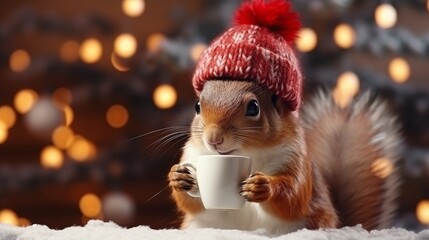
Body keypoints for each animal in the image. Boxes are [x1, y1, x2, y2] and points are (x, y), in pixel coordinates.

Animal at [166, 0, 398, 234]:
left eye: (253, 107)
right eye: (197, 106)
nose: (213, 138)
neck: (247, 153)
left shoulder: (294, 159)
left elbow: (293, 197)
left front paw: (263, 187)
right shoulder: (194, 155)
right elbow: (193, 203)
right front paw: (178, 177)